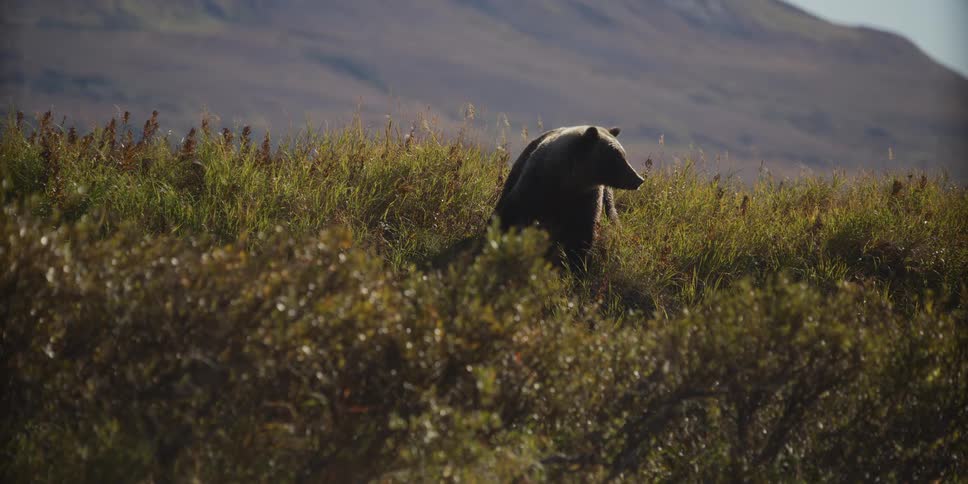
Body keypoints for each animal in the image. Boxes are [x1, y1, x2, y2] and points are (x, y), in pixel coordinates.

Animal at [493, 125, 644, 270]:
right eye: (617, 156)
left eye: (624, 154)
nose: (638, 179)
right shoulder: (536, 184)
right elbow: (511, 215)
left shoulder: (585, 198)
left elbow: (581, 234)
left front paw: (576, 265)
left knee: (612, 216)